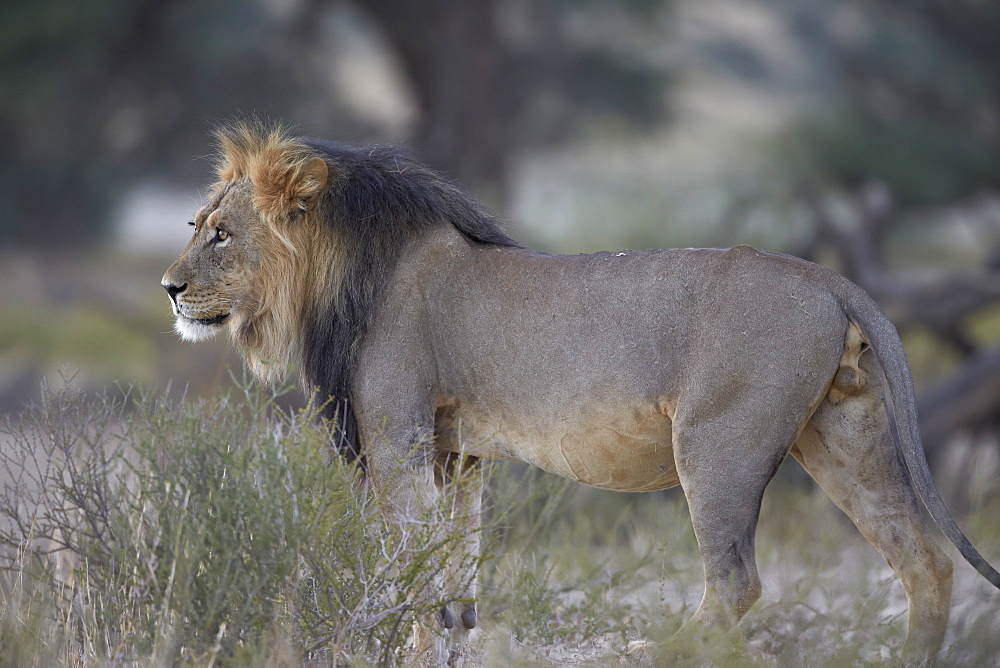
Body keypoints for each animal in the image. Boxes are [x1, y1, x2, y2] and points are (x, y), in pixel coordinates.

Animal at [166, 124, 1000, 664]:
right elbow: (453, 580)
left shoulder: (398, 440)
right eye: (196, 222)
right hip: (844, 436)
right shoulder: (455, 454)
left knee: (735, 584)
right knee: (924, 562)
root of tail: (828, 277)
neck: (339, 276)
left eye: (221, 234)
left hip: (717, 447)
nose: (169, 287)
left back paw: (663, 648)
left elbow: (404, 567)